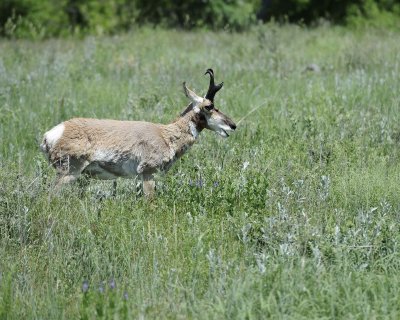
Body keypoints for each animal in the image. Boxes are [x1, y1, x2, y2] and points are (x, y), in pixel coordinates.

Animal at [39, 69, 236, 196]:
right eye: (209, 106)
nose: (232, 125)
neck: (166, 135)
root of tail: (52, 133)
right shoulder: (148, 173)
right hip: (69, 173)